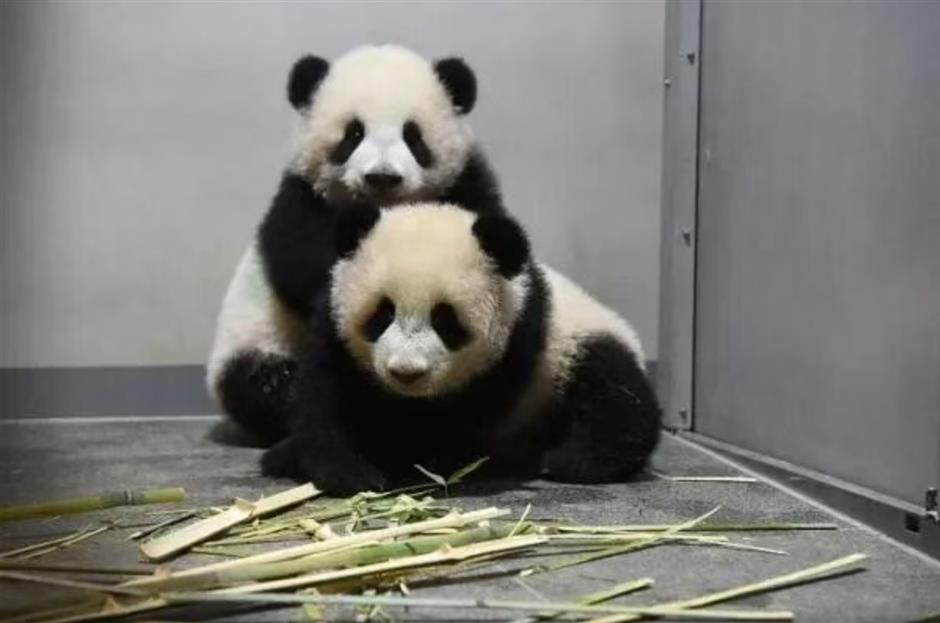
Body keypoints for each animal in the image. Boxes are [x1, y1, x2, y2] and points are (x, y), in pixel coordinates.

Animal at [207, 45, 504, 444]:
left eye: (413, 136)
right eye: (354, 133)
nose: (382, 177)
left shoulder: (463, 188)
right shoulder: (303, 200)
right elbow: (303, 267)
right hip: (252, 340)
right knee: (256, 385)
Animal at [261, 202, 661, 494]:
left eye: (445, 321)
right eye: (382, 313)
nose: (406, 372)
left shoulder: (515, 346)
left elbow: (450, 423)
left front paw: (410, 455)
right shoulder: (334, 328)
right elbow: (325, 401)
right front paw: (347, 471)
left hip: (577, 349)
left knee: (615, 398)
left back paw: (568, 461)